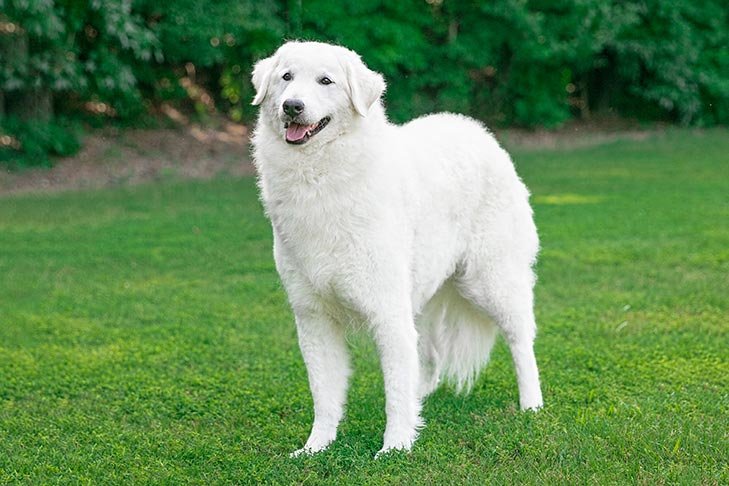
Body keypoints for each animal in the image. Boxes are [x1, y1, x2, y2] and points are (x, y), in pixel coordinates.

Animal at [250, 40, 540, 456]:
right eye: (286, 77)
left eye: (326, 81)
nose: (292, 106)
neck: (319, 179)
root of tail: (477, 131)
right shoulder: (314, 318)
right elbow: (325, 395)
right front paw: (315, 447)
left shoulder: (387, 312)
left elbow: (394, 392)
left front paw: (395, 449)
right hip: (425, 297)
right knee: (428, 356)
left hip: (490, 283)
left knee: (521, 341)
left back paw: (531, 404)